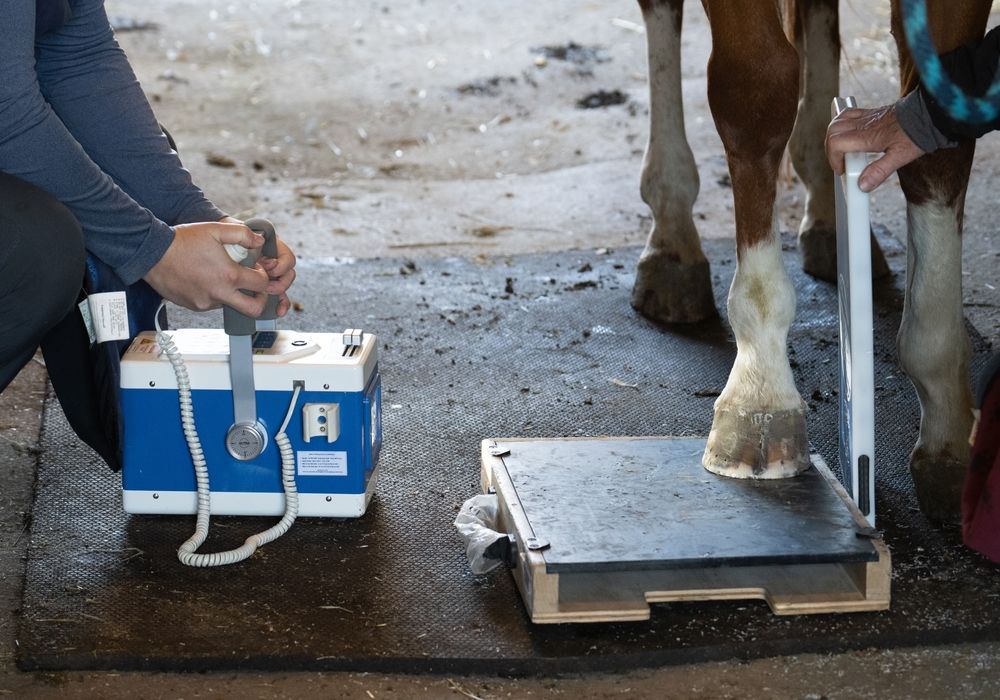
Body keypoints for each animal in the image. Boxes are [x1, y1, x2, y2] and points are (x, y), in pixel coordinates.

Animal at [632, 0, 990, 522]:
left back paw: (826, 216)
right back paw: (672, 237)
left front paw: (948, 427)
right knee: (663, 14)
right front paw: (761, 393)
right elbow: (756, 94)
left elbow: (941, 144)